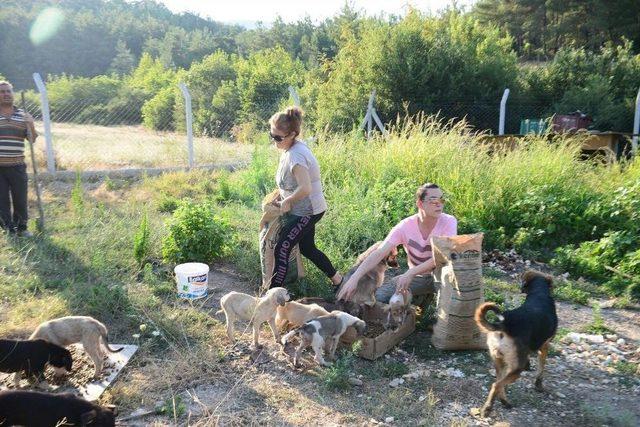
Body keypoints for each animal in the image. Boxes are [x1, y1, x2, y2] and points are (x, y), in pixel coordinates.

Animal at [472, 270, 556, 418]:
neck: (539, 294)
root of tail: (504, 324)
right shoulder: (545, 346)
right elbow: (541, 369)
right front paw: (539, 386)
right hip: (516, 369)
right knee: (496, 385)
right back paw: (487, 408)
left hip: (500, 361)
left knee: (499, 382)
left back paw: (504, 402)